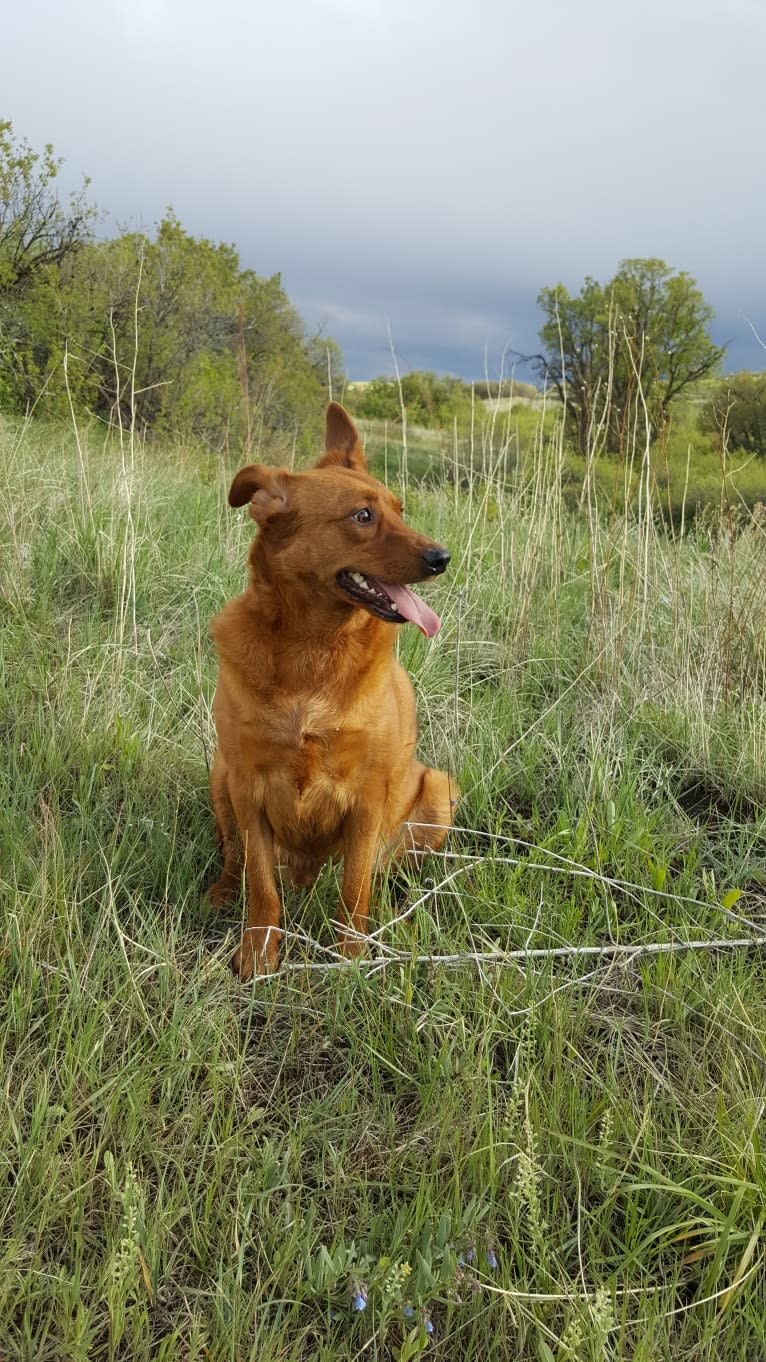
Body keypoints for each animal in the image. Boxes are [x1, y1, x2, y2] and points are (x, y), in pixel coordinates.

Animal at [205, 397, 455, 975]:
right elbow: (261, 886)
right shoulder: (248, 787)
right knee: (233, 859)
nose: (441, 558)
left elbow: (353, 887)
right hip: (219, 775)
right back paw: (220, 893)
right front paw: (258, 953)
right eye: (363, 516)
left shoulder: (367, 798)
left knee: (384, 869)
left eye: (400, 509)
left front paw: (351, 959)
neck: (312, 654)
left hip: (436, 791)